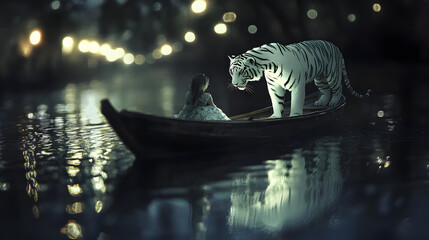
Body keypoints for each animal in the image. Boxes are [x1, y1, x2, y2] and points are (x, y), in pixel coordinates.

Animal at [227, 40, 372, 117]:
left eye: (241, 72)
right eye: (231, 72)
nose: (234, 84)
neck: (268, 67)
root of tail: (335, 46)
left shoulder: (296, 84)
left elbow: (296, 101)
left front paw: (294, 115)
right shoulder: (273, 86)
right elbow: (276, 101)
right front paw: (276, 116)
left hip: (332, 75)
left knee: (337, 89)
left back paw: (333, 102)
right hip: (320, 78)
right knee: (326, 91)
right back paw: (321, 103)